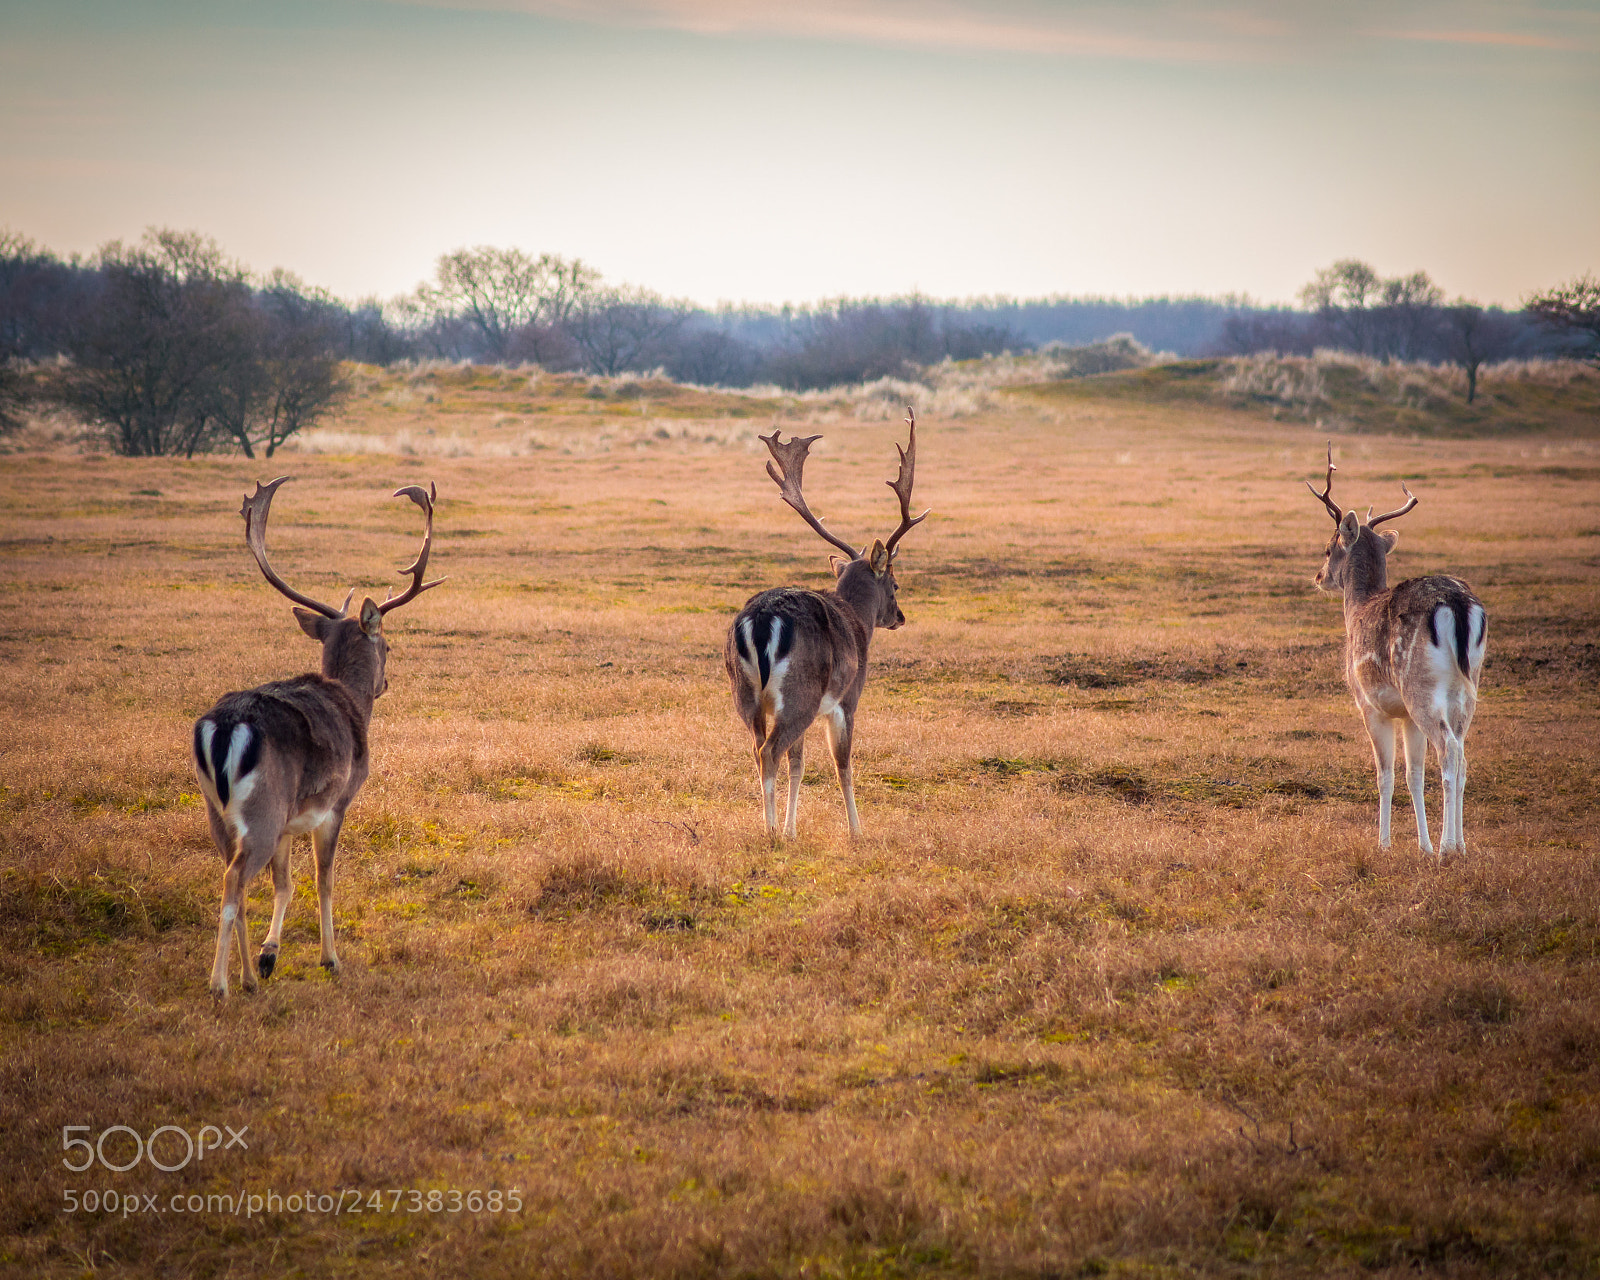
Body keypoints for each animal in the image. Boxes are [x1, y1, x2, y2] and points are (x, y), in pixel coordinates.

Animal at [194, 473, 444, 992]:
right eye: (388, 645)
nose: (385, 682)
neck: (352, 704)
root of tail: (222, 729)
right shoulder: (337, 801)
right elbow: (324, 877)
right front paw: (330, 958)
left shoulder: (292, 819)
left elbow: (285, 883)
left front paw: (268, 956)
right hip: (264, 806)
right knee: (234, 880)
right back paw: (219, 984)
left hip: (218, 811)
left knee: (234, 878)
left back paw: (247, 979)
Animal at [723, 404, 934, 832]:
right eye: (896, 584)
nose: (900, 617)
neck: (857, 621)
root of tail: (760, 622)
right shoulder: (848, 698)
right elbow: (843, 765)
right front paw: (856, 831)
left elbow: (799, 765)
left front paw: (793, 829)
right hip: (801, 691)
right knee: (770, 751)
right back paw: (770, 832)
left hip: (746, 694)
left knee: (758, 749)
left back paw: (772, 827)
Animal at [1312, 451, 1484, 857]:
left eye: (1328, 548)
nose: (1319, 576)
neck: (1356, 611)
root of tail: (1457, 604)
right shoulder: (1405, 716)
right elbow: (1414, 775)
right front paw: (1420, 846)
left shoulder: (1369, 704)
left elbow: (1386, 775)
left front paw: (1385, 844)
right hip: (1466, 689)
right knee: (1463, 756)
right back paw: (1461, 845)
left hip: (1419, 689)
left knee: (1449, 751)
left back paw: (1447, 847)